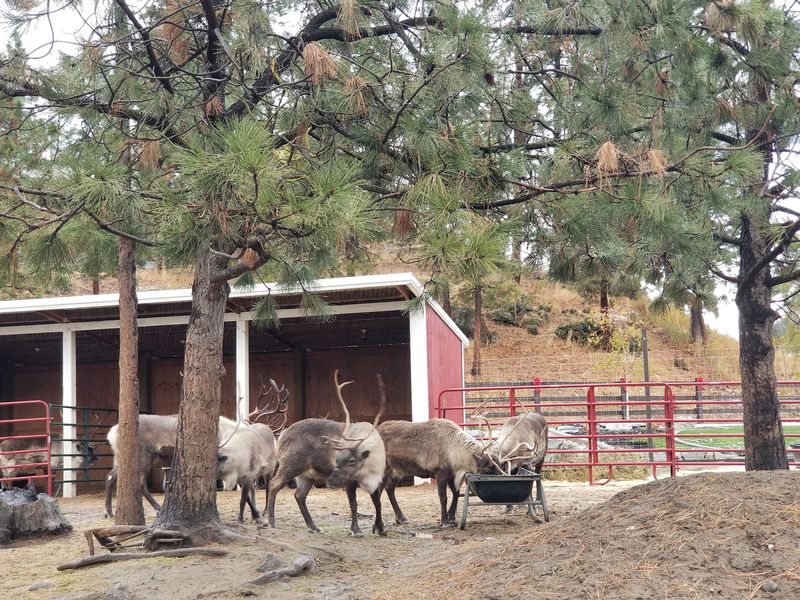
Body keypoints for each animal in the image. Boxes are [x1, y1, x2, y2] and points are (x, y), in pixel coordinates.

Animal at [266, 371, 387, 536]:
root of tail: (280, 437)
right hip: (291, 464)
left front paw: (381, 529)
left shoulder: (377, 480)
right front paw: (356, 530)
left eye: (351, 460)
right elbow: (353, 504)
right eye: (337, 459)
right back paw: (271, 521)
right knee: (274, 484)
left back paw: (313, 527)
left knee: (299, 495)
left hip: (307, 475)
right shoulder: (349, 481)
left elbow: (378, 503)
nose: (330, 481)